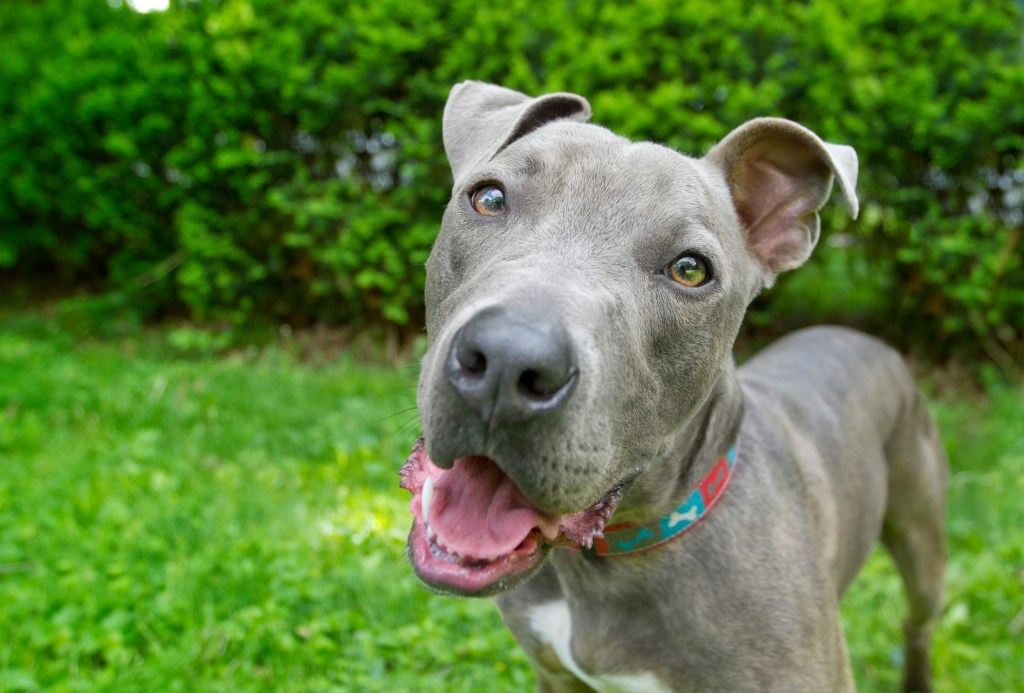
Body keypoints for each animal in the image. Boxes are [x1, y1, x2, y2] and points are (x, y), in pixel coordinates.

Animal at [397, 82, 942, 691]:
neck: (604, 563)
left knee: (918, 621)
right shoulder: (555, 675)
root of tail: (865, 338)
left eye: (690, 269)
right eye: (490, 198)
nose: (508, 360)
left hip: (922, 541)